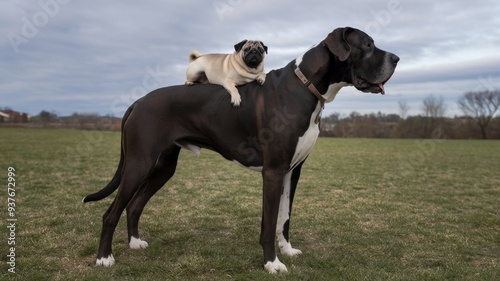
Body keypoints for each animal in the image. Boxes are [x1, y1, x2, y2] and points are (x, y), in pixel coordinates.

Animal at [84, 27, 400, 272]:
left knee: (135, 204)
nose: (397, 58)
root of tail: (137, 102)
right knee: (111, 212)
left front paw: (287, 251)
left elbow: (283, 219)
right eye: (367, 45)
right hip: (139, 163)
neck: (306, 86)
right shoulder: (273, 171)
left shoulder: (292, 172)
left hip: (162, 167)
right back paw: (104, 258)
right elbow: (270, 222)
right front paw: (272, 263)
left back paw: (135, 243)